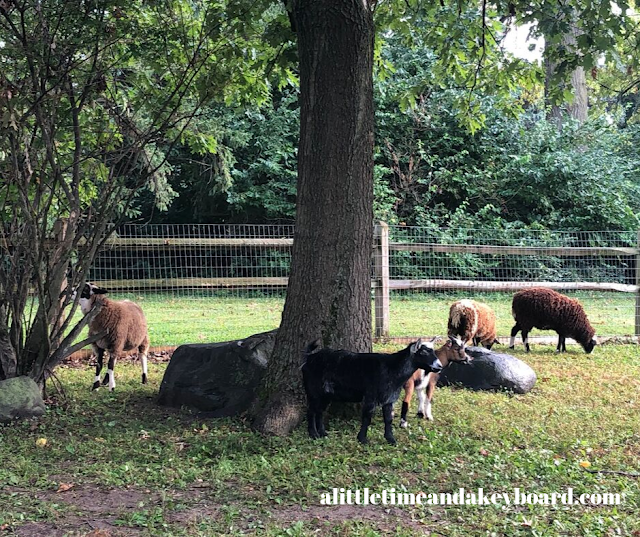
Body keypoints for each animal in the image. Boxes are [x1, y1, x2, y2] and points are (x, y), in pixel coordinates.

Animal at [300, 340, 460, 444]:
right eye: (424, 352)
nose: (438, 366)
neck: (392, 368)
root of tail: (309, 358)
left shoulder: (389, 398)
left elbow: (388, 419)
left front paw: (391, 439)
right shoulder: (371, 396)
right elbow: (367, 417)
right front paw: (363, 439)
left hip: (326, 393)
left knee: (320, 411)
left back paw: (322, 433)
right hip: (313, 390)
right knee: (311, 411)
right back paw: (313, 434)